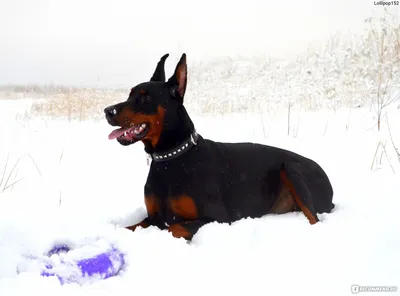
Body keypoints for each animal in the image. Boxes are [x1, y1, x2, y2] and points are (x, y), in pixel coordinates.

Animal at [104, 53, 334, 239]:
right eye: (130, 94)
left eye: (146, 98)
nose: (107, 111)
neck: (171, 159)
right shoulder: (153, 217)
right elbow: (130, 228)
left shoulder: (218, 218)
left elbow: (175, 228)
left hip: (292, 169)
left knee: (314, 218)